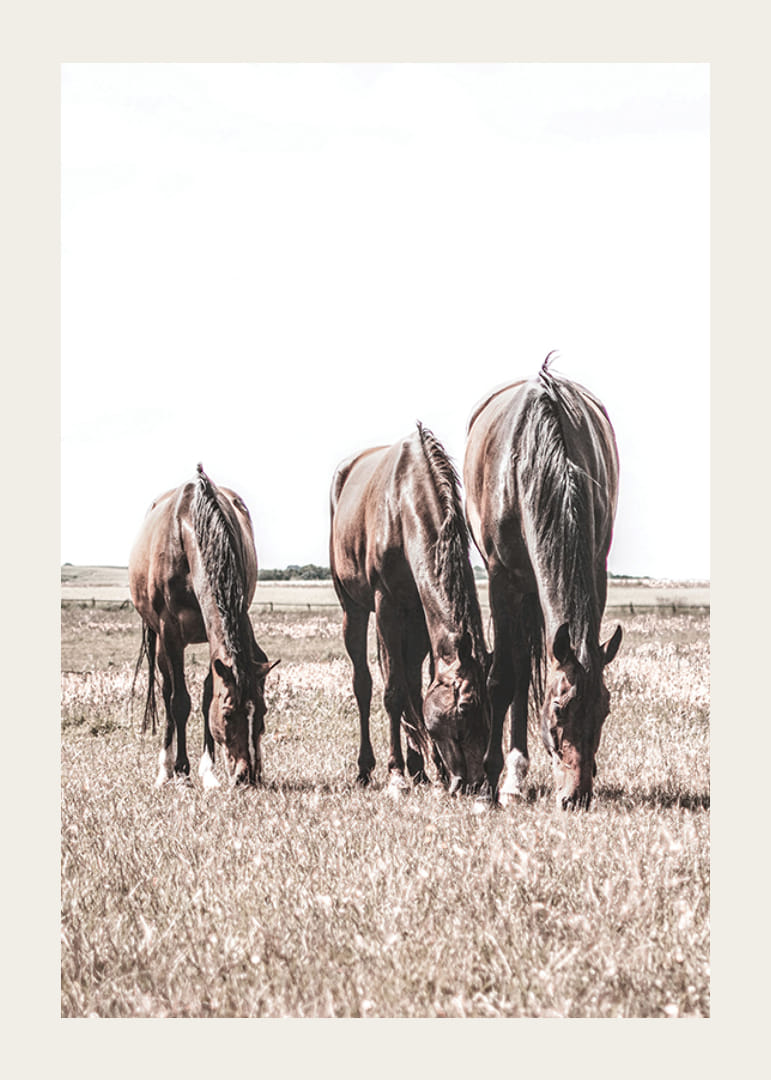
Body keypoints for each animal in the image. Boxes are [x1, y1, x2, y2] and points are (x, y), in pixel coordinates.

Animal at [129, 464, 278, 788]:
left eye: (263, 711)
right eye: (228, 714)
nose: (246, 776)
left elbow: (207, 695)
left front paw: (208, 771)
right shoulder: (170, 632)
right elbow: (179, 702)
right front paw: (182, 770)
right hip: (160, 643)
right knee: (167, 692)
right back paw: (166, 769)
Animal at [329, 422, 490, 795]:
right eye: (462, 713)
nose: (473, 785)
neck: (403, 505)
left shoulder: (420, 614)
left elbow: (417, 689)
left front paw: (432, 770)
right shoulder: (386, 605)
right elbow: (393, 692)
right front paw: (396, 774)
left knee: (411, 683)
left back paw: (419, 768)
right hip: (354, 609)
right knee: (365, 683)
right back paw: (368, 769)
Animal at [463, 354, 622, 809]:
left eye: (604, 710)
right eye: (557, 710)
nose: (576, 797)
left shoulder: (596, 570)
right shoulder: (501, 579)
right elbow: (503, 678)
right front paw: (488, 784)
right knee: (517, 668)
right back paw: (511, 779)